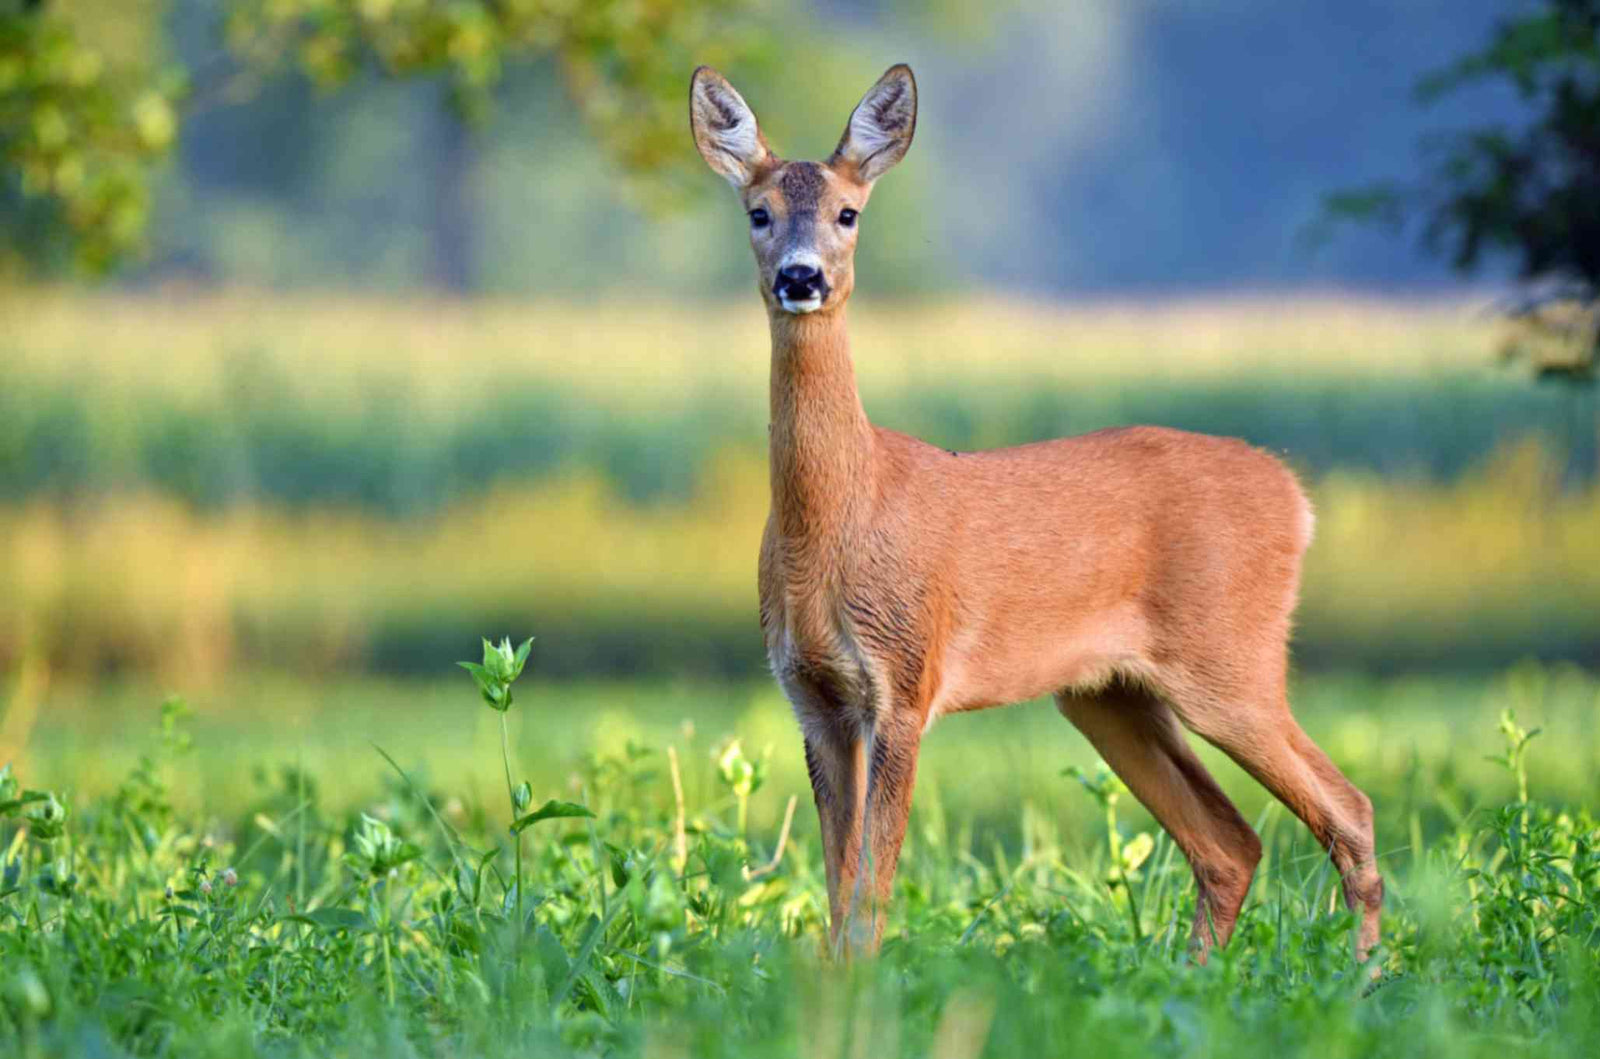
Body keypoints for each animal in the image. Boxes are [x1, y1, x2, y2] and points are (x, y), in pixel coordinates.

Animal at [688, 62, 1383, 964]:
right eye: (758, 212)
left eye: (848, 212)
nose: (800, 277)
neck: (841, 517)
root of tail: (1297, 498)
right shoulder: (813, 695)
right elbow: (838, 891)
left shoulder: (906, 678)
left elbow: (872, 888)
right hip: (1107, 692)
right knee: (1231, 841)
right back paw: (1199, 975)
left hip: (1231, 658)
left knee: (1349, 811)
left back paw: (1365, 975)